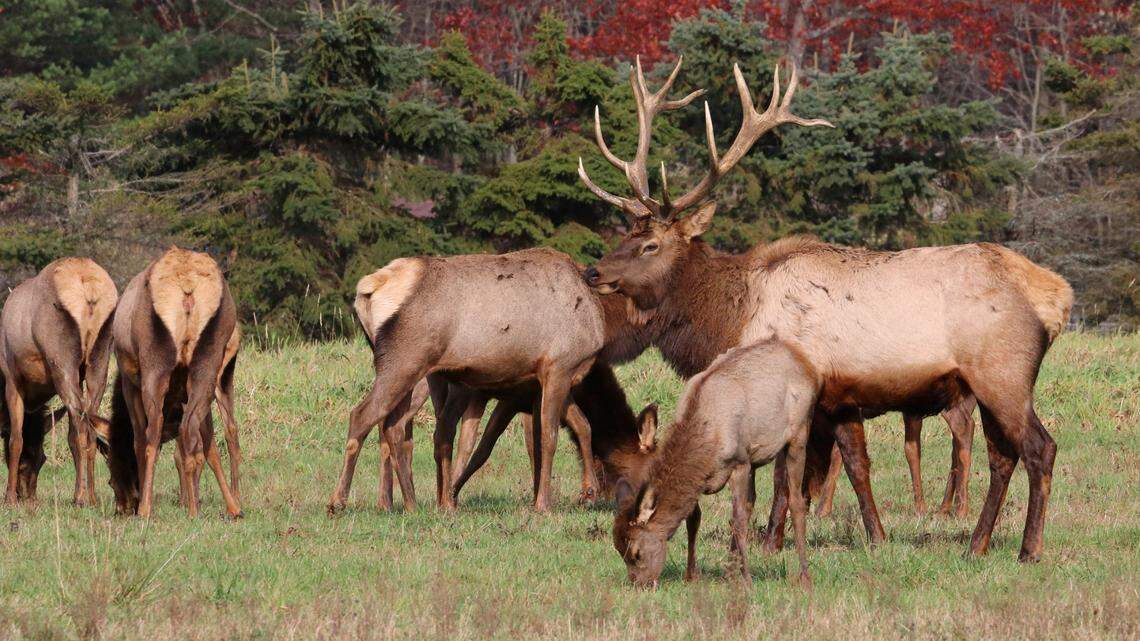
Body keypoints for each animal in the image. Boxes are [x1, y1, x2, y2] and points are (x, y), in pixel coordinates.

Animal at [1, 258, 117, 506]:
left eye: (39, 459)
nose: (27, 495)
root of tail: (88, 287)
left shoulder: (12, 380)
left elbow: (15, 439)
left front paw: (8, 498)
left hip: (61, 364)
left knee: (80, 427)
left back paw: (81, 496)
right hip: (99, 361)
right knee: (89, 425)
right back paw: (90, 496)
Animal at [106, 247, 243, 518]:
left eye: (112, 477)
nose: (123, 507)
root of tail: (187, 285)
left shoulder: (129, 382)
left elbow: (140, 440)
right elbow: (207, 446)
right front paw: (228, 506)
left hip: (155, 367)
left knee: (153, 433)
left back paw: (147, 510)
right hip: (209, 367)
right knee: (200, 431)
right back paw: (205, 508)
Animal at [578, 56, 1073, 562]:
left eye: (651, 245)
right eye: (627, 233)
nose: (592, 272)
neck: (732, 320)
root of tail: (1056, 295)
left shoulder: (798, 392)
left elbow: (785, 476)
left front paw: (768, 542)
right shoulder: (840, 400)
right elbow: (856, 466)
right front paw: (876, 535)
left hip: (1002, 373)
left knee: (1040, 448)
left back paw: (1029, 548)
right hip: (984, 384)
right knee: (1002, 455)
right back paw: (976, 543)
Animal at [613, 339, 822, 589]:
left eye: (636, 552)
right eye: (618, 549)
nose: (640, 585)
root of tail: (808, 365)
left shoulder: (739, 462)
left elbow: (738, 521)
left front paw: (748, 580)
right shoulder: (703, 479)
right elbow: (694, 519)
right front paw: (691, 575)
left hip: (799, 434)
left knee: (797, 503)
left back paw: (805, 576)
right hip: (757, 458)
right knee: (752, 501)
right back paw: (731, 570)